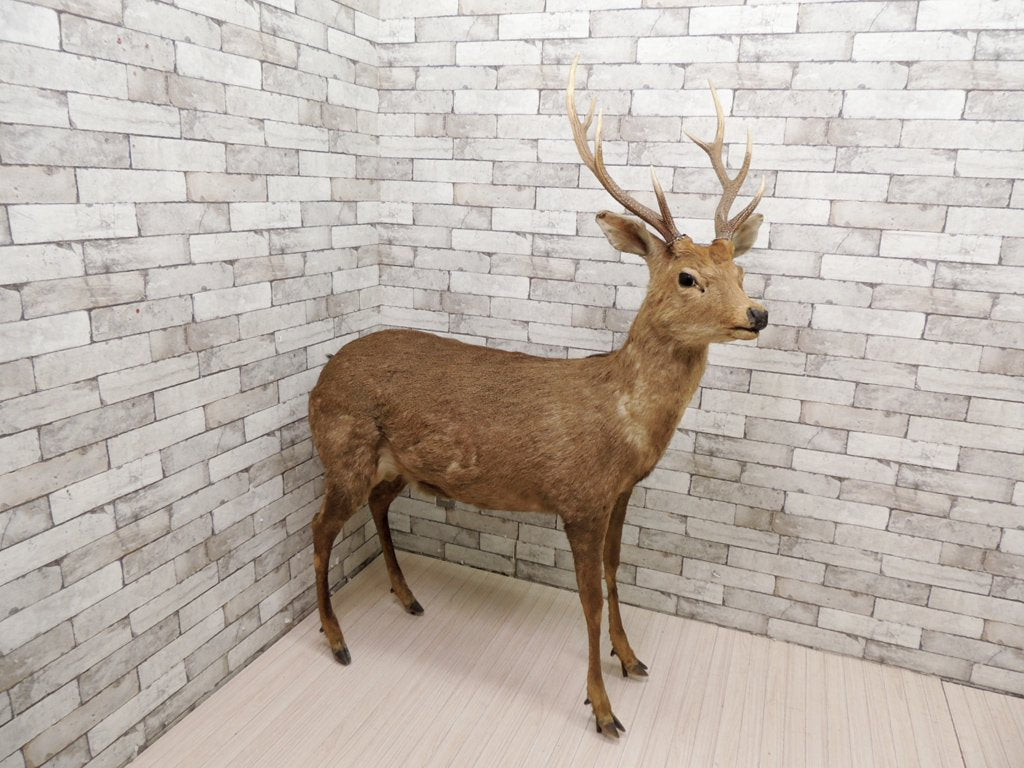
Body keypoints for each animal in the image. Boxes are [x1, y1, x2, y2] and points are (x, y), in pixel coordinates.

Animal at [308, 56, 767, 738]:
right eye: (688, 277)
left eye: (740, 270)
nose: (757, 314)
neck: (623, 422)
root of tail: (321, 376)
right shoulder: (578, 497)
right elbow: (589, 600)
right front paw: (602, 709)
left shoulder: (618, 494)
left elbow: (613, 574)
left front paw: (632, 659)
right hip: (343, 447)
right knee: (319, 529)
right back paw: (336, 638)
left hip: (395, 465)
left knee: (378, 507)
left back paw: (408, 596)